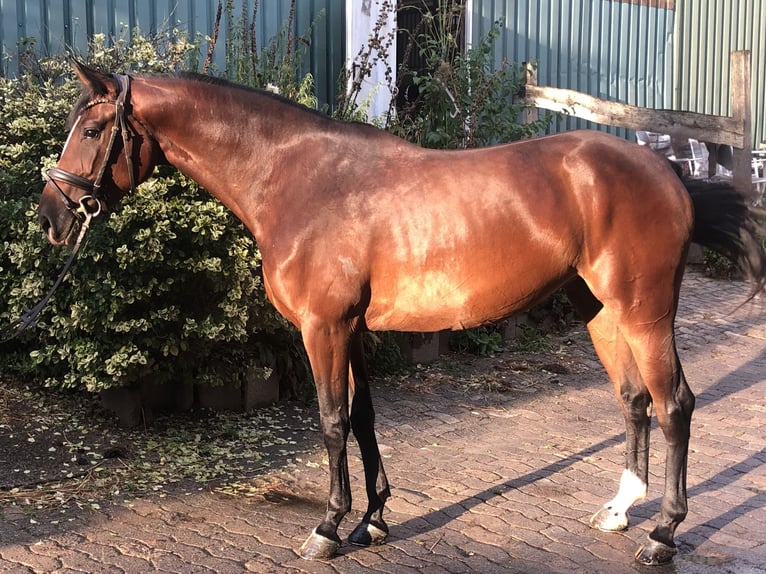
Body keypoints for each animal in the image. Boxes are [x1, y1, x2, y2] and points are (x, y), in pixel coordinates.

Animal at [37, 62, 766, 568]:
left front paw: (328, 528)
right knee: (633, 399)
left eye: (93, 130)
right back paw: (617, 511)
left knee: (675, 405)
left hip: (645, 312)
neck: (298, 179)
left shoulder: (323, 329)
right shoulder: (352, 331)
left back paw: (663, 534)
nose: (50, 217)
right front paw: (374, 520)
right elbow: (363, 418)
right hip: (601, 311)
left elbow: (331, 422)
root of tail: (667, 172)